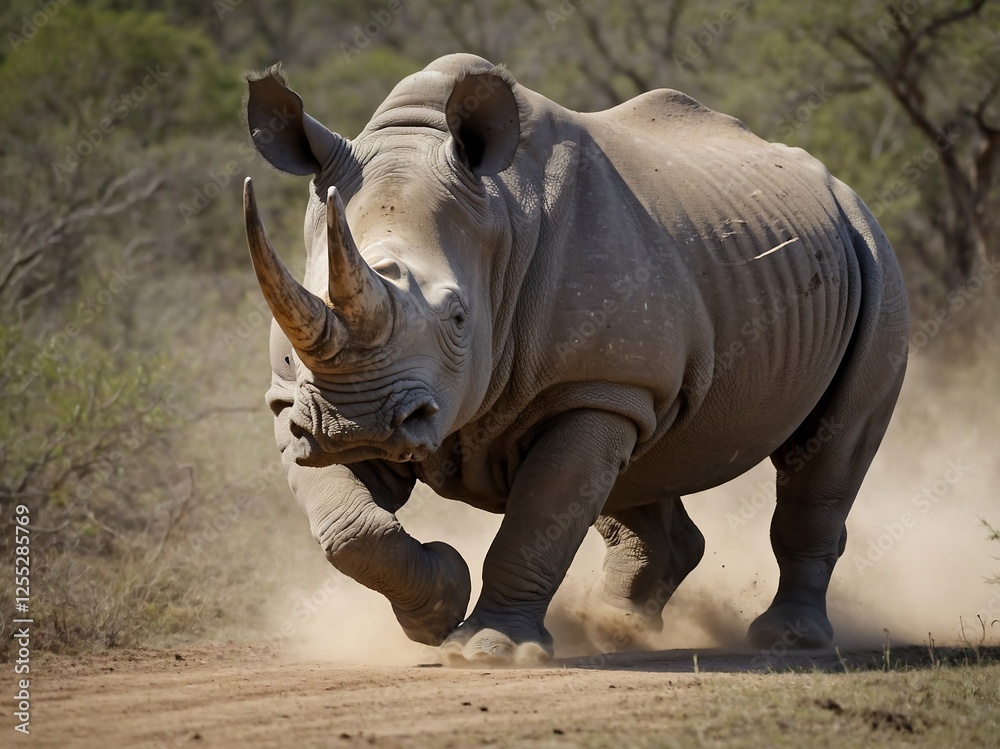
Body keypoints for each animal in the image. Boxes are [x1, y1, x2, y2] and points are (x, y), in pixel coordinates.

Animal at [242, 54, 909, 665]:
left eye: (458, 318)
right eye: (289, 320)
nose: (356, 426)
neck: (500, 222)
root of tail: (842, 190)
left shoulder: (596, 385)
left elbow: (539, 517)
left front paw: (487, 649)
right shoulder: (294, 399)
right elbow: (348, 530)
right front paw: (438, 608)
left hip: (874, 257)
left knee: (829, 445)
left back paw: (785, 640)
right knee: (642, 468)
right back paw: (622, 632)